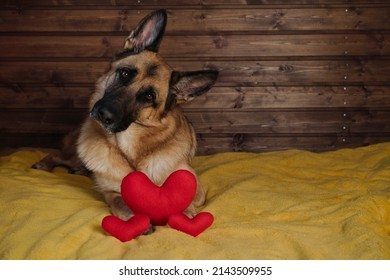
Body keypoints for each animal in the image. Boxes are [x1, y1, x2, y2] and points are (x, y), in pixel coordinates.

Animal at [34, 9, 219, 230]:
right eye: (124, 73)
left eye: (148, 96)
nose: (104, 115)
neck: (133, 153)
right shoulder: (110, 192)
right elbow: (120, 201)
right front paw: (135, 219)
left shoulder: (197, 187)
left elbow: (187, 199)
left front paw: (186, 215)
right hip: (73, 153)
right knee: (56, 154)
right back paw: (45, 165)